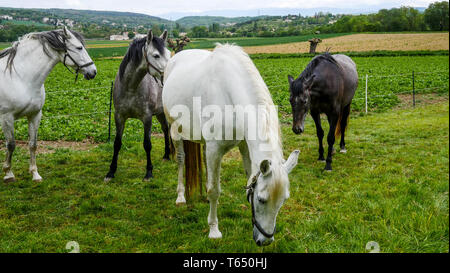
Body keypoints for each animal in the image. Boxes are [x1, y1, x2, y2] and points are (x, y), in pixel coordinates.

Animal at [0, 26, 97, 182]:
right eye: (79, 47)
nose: (93, 72)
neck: (19, 77)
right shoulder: (6, 117)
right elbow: (11, 145)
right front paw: (8, 173)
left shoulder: (35, 115)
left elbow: (33, 144)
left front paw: (35, 174)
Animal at [105, 29, 172, 181]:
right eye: (156, 55)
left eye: (169, 53)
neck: (131, 87)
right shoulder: (119, 117)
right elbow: (117, 143)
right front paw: (111, 171)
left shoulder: (147, 118)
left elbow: (147, 144)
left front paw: (149, 172)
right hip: (160, 113)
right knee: (166, 129)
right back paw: (167, 154)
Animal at [163, 43, 300, 245]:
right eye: (261, 200)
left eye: (283, 200)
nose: (265, 241)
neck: (229, 93)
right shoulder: (215, 150)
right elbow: (214, 190)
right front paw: (214, 230)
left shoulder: (244, 147)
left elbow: (248, 178)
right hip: (175, 130)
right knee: (181, 160)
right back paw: (180, 197)